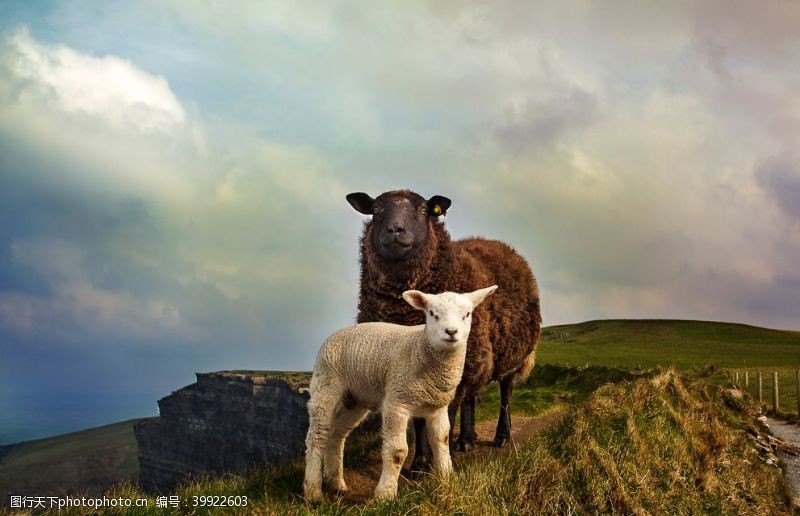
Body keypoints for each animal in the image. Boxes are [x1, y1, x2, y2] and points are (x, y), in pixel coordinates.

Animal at [304, 286, 496, 500]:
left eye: (467, 314)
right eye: (432, 313)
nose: (451, 332)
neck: (421, 348)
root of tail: (337, 332)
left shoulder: (437, 407)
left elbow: (442, 440)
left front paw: (446, 480)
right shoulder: (397, 402)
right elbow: (397, 451)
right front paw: (385, 494)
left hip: (354, 400)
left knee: (336, 436)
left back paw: (336, 483)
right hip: (325, 385)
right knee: (317, 437)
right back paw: (313, 492)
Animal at [346, 189, 540, 472]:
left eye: (423, 210)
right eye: (377, 209)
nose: (395, 230)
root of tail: (501, 244)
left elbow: (443, 417)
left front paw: (438, 463)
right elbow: (419, 421)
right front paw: (419, 463)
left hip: (509, 356)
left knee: (505, 395)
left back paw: (502, 437)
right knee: (472, 397)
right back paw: (466, 440)